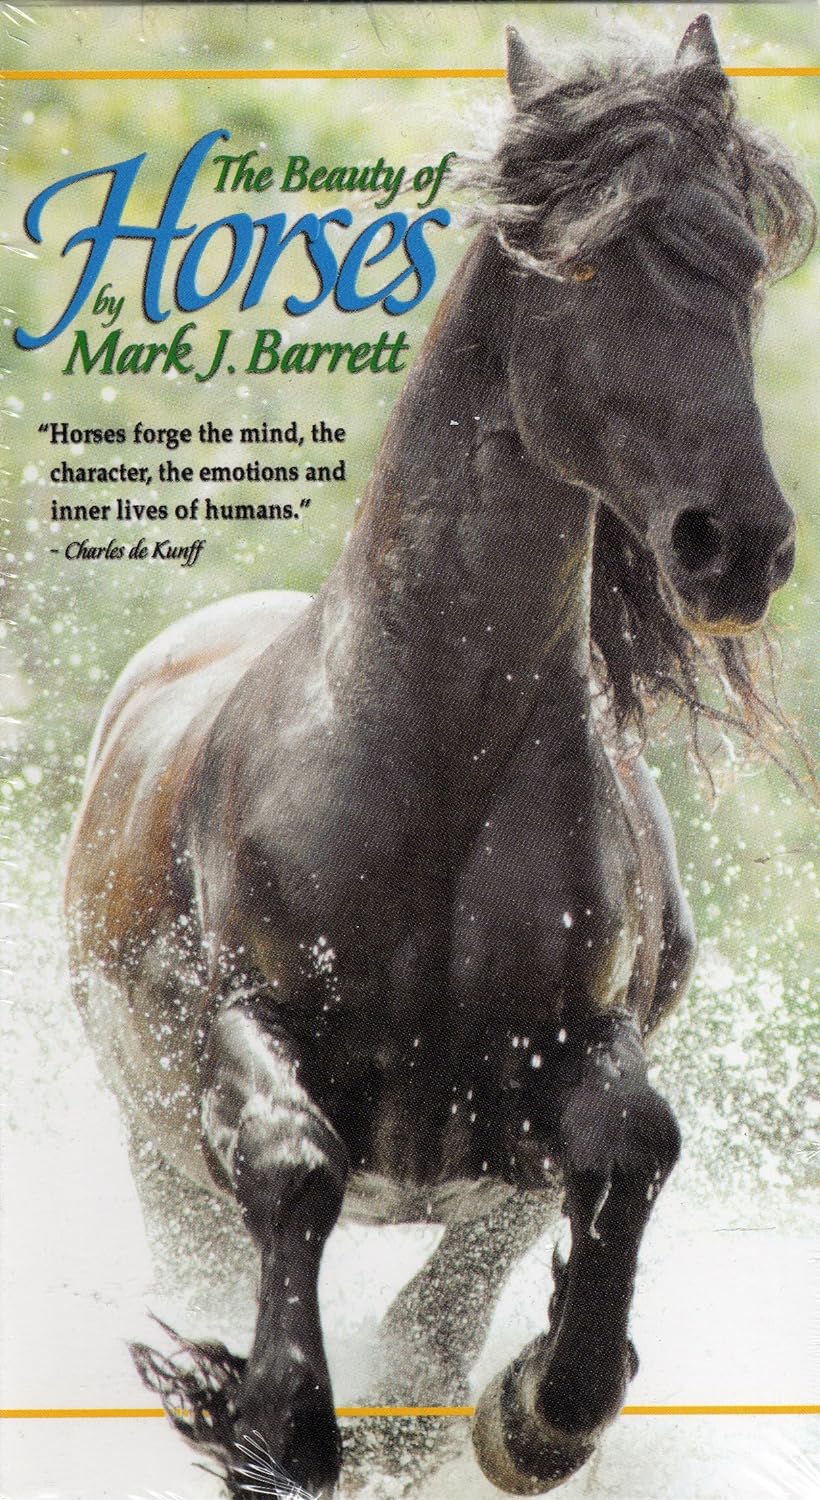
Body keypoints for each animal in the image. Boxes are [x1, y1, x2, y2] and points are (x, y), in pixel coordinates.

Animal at [64, 16, 814, 1498]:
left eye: (744, 264)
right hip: (157, 1157)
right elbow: (296, 1168)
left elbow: (632, 1143)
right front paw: (258, 1411)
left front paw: (538, 1408)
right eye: (577, 264)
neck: (430, 761)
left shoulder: (576, 1050)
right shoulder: (243, 1025)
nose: (734, 547)